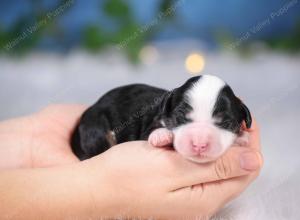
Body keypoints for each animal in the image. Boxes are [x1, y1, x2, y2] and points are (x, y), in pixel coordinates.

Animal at [71, 75, 251, 162]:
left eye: (226, 123)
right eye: (180, 117)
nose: (199, 144)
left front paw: (242, 138)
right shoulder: (151, 123)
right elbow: (153, 130)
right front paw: (162, 135)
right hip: (95, 126)